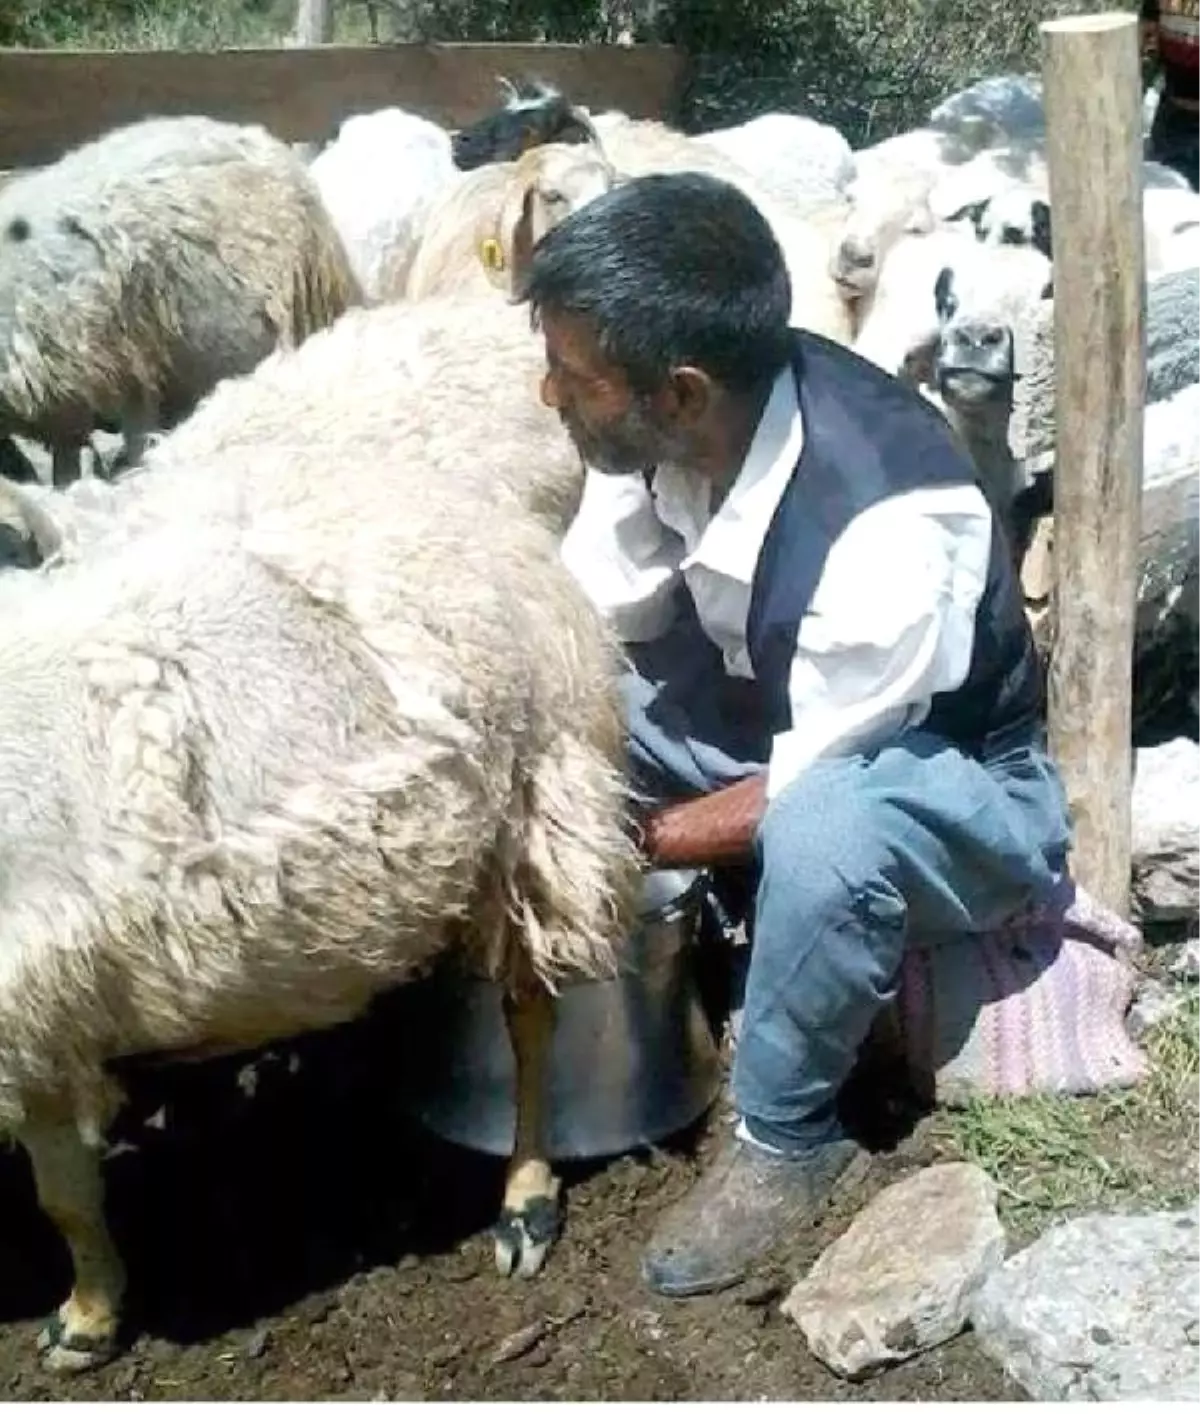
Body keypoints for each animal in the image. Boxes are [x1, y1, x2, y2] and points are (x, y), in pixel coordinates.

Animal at [0, 289, 636, 1380]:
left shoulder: (33, 1012)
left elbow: (65, 1200)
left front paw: (86, 1316)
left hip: (533, 800)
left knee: (531, 1013)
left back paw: (526, 1194)